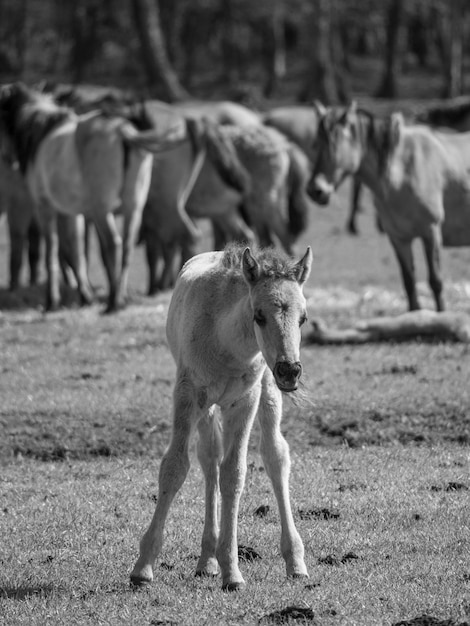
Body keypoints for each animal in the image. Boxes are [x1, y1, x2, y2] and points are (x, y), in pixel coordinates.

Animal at [130, 241, 312, 588]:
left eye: (304, 319)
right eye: (259, 315)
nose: (290, 370)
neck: (226, 342)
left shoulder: (244, 401)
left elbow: (234, 473)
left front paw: (233, 572)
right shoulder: (188, 395)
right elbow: (175, 468)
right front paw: (143, 568)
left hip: (266, 391)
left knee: (274, 455)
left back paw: (295, 563)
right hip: (207, 407)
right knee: (209, 458)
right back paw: (206, 560)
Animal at [306, 102, 470, 312]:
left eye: (336, 145)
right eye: (316, 143)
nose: (315, 190)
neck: (402, 172)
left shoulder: (431, 232)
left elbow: (436, 282)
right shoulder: (398, 238)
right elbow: (409, 284)